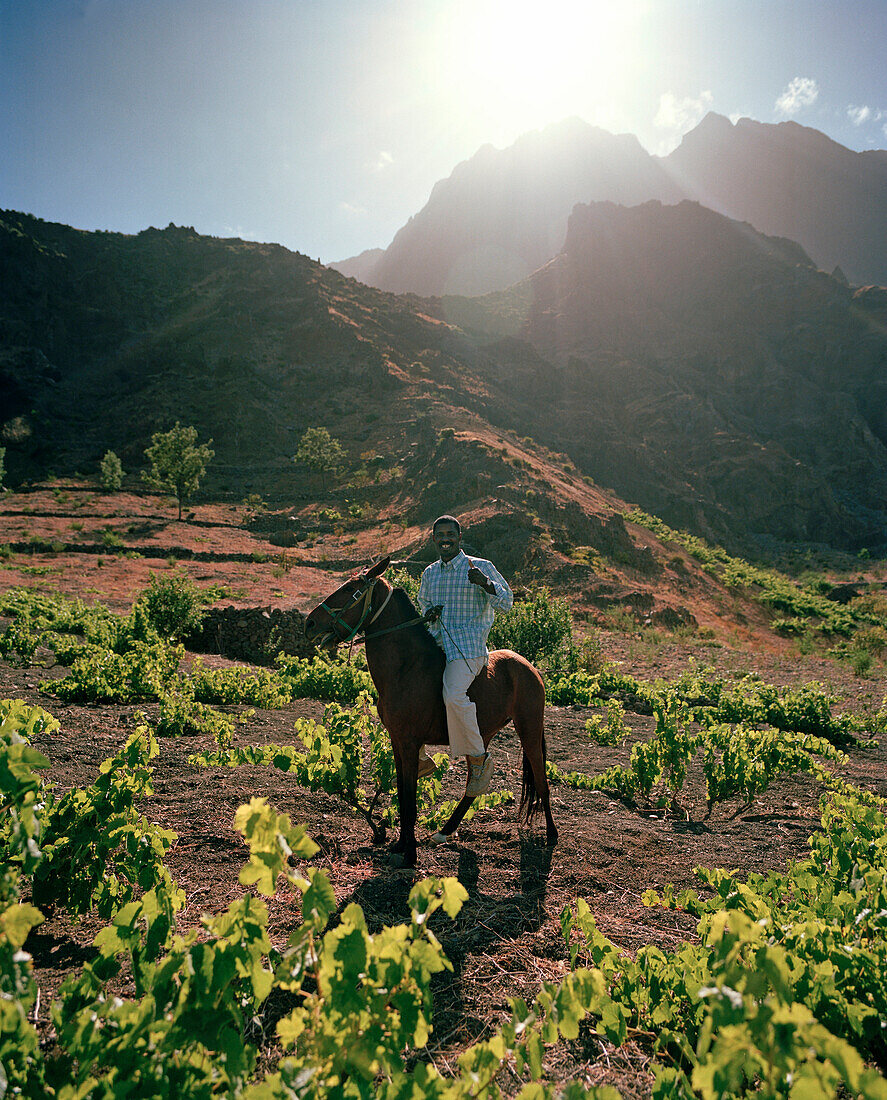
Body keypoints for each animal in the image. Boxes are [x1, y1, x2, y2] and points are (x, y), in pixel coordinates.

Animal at [301, 558, 559, 866]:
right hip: (481, 734)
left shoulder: (410, 743)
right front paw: (401, 845)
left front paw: (410, 855)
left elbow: (410, 801)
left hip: (529, 728)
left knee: (541, 780)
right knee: (474, 783)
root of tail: (528, 667)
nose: (310, 622)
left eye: (351, 589)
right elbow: (403, 795)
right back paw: (445, 831)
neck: (406, 667)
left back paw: (552, 834)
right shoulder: (398, 742)